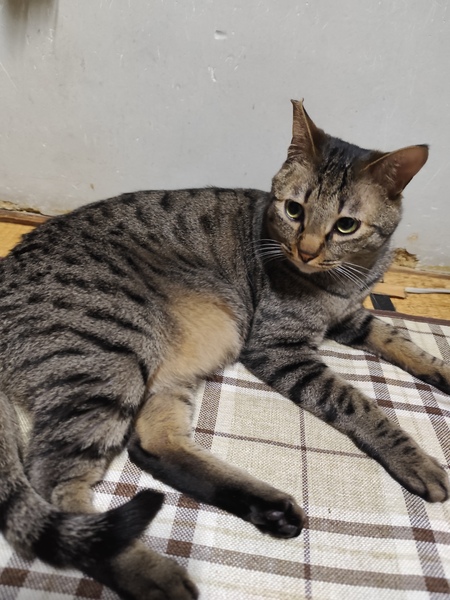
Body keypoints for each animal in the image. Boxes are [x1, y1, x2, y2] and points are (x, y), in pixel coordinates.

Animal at [0, 100, 448, 600]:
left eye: (345, 225)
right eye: (294, 210)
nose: (307, 250)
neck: (348, 277)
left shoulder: (352, 317)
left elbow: (401, 340)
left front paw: (442, 370)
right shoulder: (277, 346)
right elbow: (356, 402)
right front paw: (415, 458)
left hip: (163, 370)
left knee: (152, 446)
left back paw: (268, 508)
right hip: (111, 359)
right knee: (55, 484)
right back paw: (151, 573)